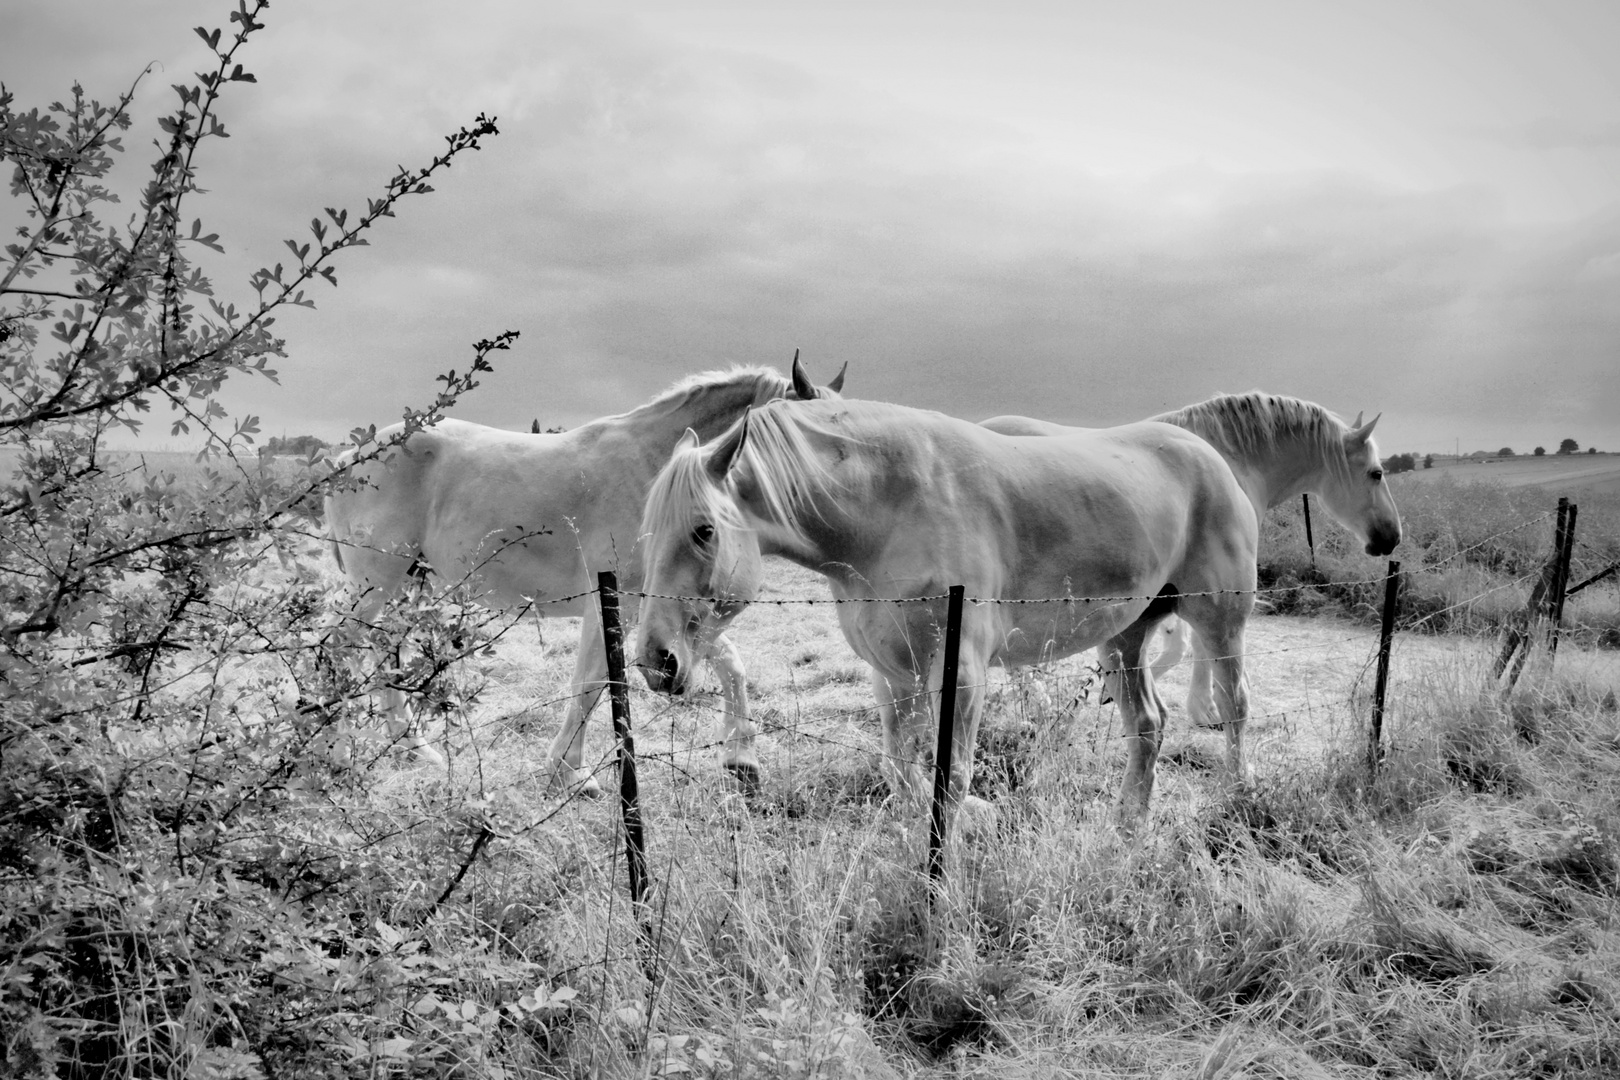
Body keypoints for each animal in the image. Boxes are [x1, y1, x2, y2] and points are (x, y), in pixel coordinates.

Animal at [320, 359, 842, 790]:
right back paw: (338, 756)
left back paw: (416, 752)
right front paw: (570, 773)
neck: (660, 471)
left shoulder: (669, 611)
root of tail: (344, 462)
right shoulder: (617, 602)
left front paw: (741, 760)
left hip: (406, 587)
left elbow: (730, 664)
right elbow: (592, 684)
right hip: (374, 586)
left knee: (379, 652)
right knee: (339, 645)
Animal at [628, 401, 1263, 835]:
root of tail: (1210, 457)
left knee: (1233, 706)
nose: (656, 661)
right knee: (1148, 725)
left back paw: (1237, 801)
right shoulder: (894, 675)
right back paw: (1128, 828)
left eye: (704, 530)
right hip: (1123, 640)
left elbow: (949, 777)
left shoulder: (960, 673)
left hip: (1220, 621)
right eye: (647, 532)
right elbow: (902, 772)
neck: (889, 508)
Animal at [978, 393, 1399, 731]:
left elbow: (1180, 645)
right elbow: (1192, 646)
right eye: (1376, 473)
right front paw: (1202, 709)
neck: (1230, 461)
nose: (1392, 537)